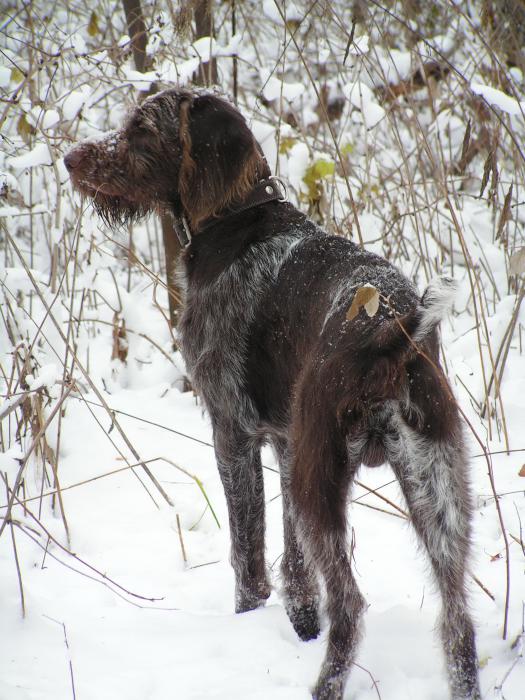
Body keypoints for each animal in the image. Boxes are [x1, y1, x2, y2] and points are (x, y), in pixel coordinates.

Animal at [64, 87, 478, 700]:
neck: (236, 222)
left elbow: (249, 554)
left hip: (322, 481)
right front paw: (301, 626)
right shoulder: (285, 442)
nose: (72, 158)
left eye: (141, 129)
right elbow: (295, 564)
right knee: (456, 617)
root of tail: (391, 335)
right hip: (434, 485)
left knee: (352, 604)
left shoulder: (232, 431)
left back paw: (325, 685)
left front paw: (249, 621)